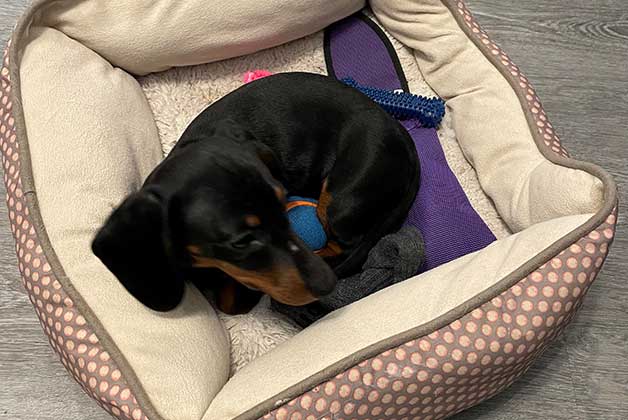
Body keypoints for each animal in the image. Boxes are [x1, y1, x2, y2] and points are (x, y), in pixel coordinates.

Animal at [91, 73, 420, 316]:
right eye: (241, 242)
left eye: (282, 202)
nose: (328, 283)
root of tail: (402, 136)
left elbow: (232, 300)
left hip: (339, 204)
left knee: (342, 243)